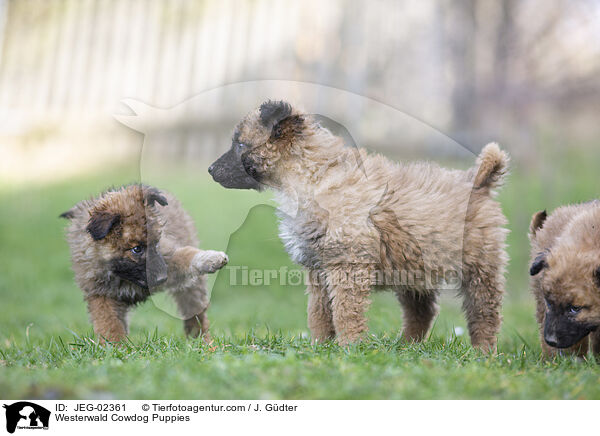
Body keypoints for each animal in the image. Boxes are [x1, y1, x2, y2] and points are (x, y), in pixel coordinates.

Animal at [61, 184, 229, 344]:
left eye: (156, 243)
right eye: (136, 249)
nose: (163, 279)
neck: (121, 276)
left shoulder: (167, 255)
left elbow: (185, 255)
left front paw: (211, 258)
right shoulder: (100, 294)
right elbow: (109, 324)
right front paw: (116, 348)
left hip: (192, 291)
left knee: (196, 316)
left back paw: (203, 342)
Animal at [209, 100, 508, 352]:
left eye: (240, 145)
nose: (210, 170)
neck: (313, 177)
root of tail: (477, 182)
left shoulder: (347, 265)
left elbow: (345, 312)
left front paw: (349, 348)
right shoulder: (318, 270)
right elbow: (318, 313)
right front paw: (320, 346)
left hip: (481, 269)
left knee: (485, 314)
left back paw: (483, 353)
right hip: (414, 268)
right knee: (422, 311)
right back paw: (406, 346)